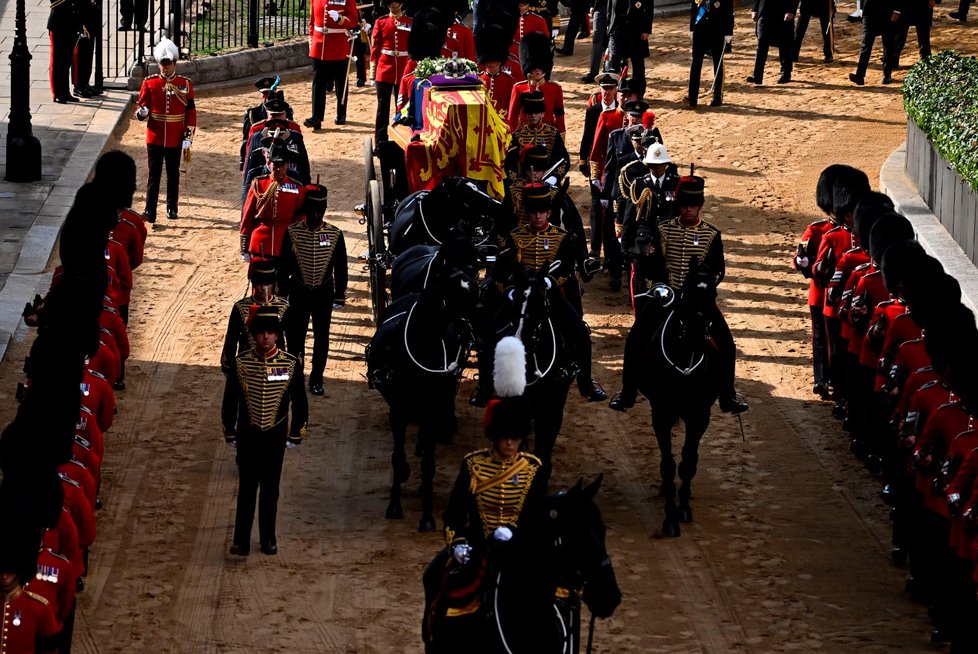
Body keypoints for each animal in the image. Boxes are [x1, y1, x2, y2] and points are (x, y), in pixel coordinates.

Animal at [364, 233, 478, 532]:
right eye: (452, 288)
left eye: (474, 279)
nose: (475, 322)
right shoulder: (398, 410)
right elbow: (397, 456)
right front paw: (394, 504)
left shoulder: (431, 408)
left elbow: (428, 463)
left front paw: (427, 516)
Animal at [620, 264, 720, 540]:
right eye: (686, 294)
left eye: (713, 295)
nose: (697, 336)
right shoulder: (661, 414)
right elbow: (668, 463)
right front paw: (670, 519)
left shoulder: (700, 415)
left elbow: (688, 462)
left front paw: (683, 508)